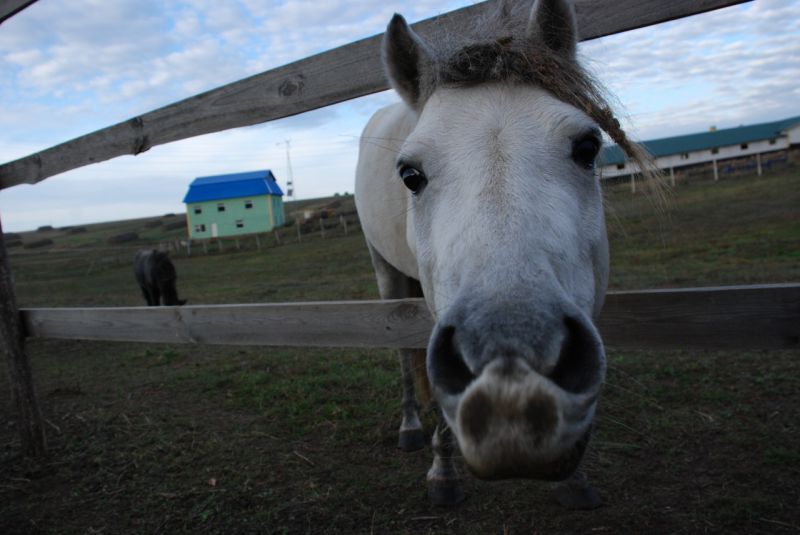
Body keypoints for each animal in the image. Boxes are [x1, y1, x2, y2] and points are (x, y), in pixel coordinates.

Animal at [354, 0, 648, 510]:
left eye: (587, 147)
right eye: (410, 174)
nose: (510, 385)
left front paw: (576, 481)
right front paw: (443, 472)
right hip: (386, 273)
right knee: (403, 353)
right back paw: (410, 428)